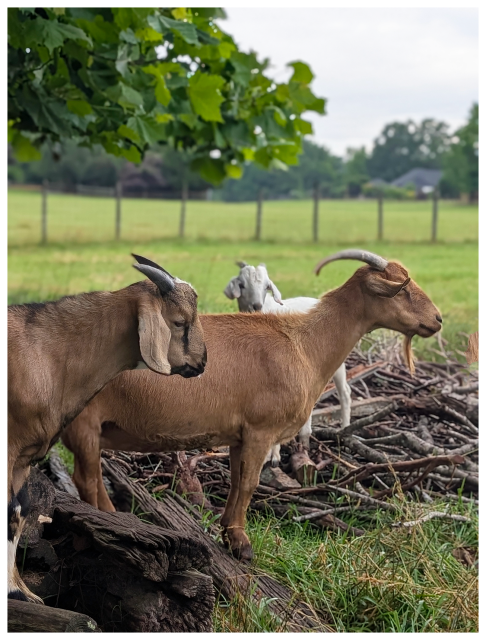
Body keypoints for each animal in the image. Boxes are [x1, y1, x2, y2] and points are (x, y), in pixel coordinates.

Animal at [7, 254, 206, 603]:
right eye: (180, 322)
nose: (203, 362)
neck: (47, 354)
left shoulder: (24, 457)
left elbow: (19, 511)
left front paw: (20, 591)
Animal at [224, 261, 352, 466]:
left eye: (267, 286)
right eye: (242, 285)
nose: (256, 305)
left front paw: (274, 457)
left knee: (345, 392)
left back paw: (345, 432)